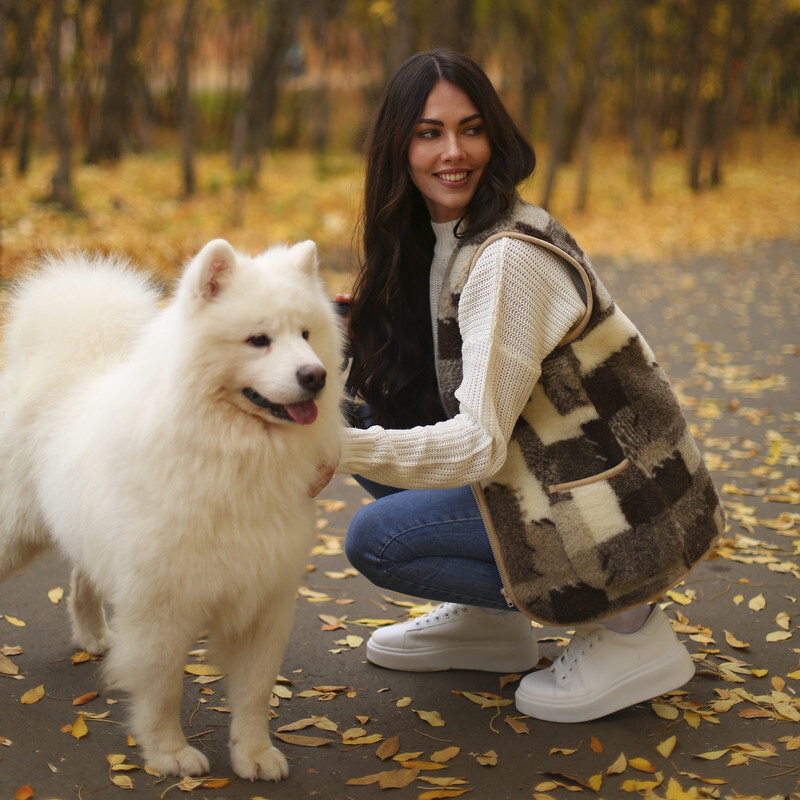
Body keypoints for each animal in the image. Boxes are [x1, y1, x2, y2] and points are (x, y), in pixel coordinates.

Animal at [0, 239, 340, 780]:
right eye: (258, 340)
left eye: (306, 335)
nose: (316, 375)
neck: (229, 456)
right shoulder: (161, 603)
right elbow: (163, 689)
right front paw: (168, 753)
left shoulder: (265, 600)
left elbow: (254, 694)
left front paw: (253, 754)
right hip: (17, 533)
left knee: (81, 580)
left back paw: (94, 636)